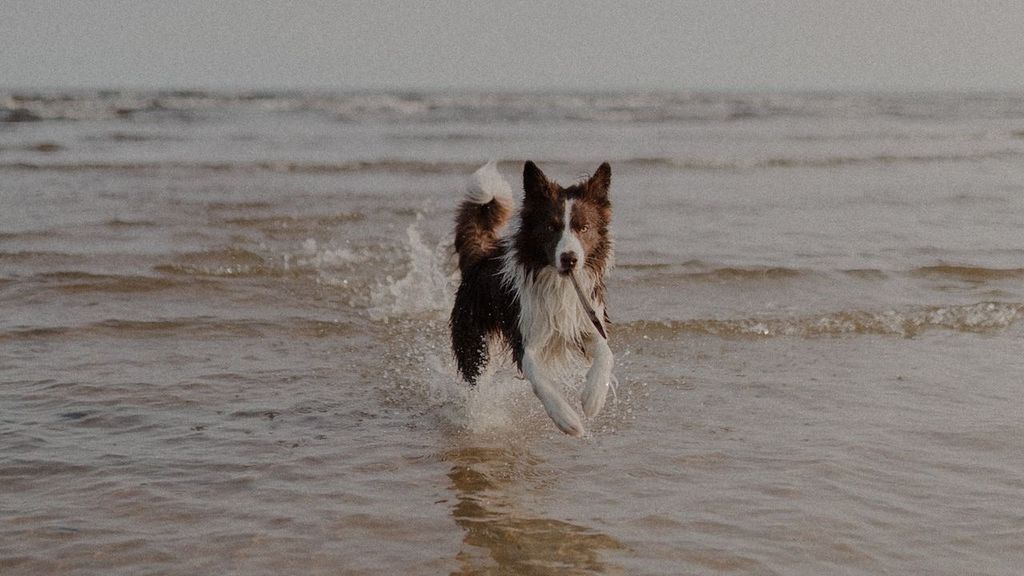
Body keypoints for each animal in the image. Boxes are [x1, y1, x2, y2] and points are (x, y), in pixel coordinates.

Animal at [450, 158, 610, 432]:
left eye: (584, 228)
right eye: (551, 227)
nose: (569, 259)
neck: (558, 283)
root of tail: (480, 258)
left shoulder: (587, 320)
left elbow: (606, 352)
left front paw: (593, 399)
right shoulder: (524, 336)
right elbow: (539, 378)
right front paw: (567, 419)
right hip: (473, 337)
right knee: (477, 375)